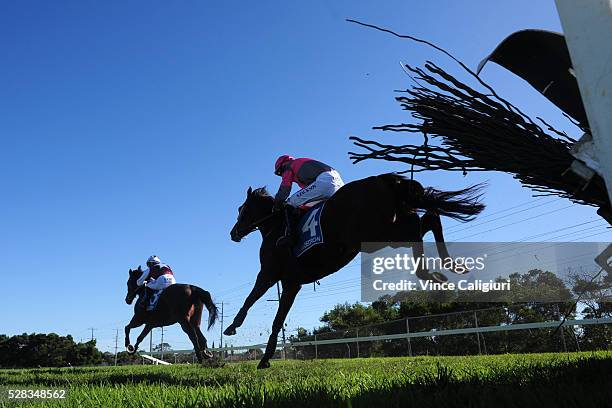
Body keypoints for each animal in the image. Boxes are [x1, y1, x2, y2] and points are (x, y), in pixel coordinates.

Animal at [225, 174, 482, 368]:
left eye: (242, 209)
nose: (233, 233)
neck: (276, 226)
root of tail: (383, 179)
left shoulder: (272, 276)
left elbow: (253, 300)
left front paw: (234, 327)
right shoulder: (291, 283)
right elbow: (276, 319)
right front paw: (264, 357)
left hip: (375, 233)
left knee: (422, 225)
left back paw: (431, 273)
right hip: (388, 226)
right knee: (429, 219)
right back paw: (450, 268)